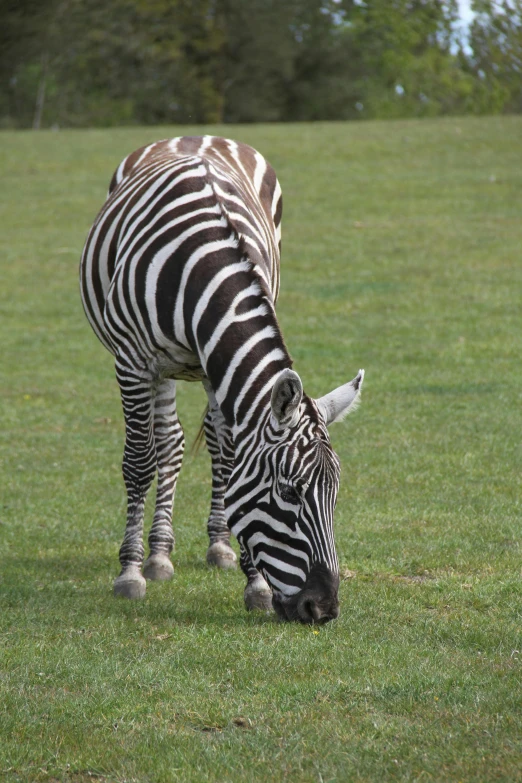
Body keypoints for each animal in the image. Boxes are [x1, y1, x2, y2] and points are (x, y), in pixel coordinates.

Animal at [80, 135, 362, 624]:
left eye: (335, 494)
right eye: (289, 490)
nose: (323, 609)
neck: (202, 267)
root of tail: (193, 137)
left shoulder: (220, 366)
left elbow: (230, 462)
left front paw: (254, 582)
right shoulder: (132, 362)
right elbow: (139, 460)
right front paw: (129, 573)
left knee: (206, 444)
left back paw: (211, 547)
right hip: (160, 369)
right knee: (167, 443)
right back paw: (156, 556)